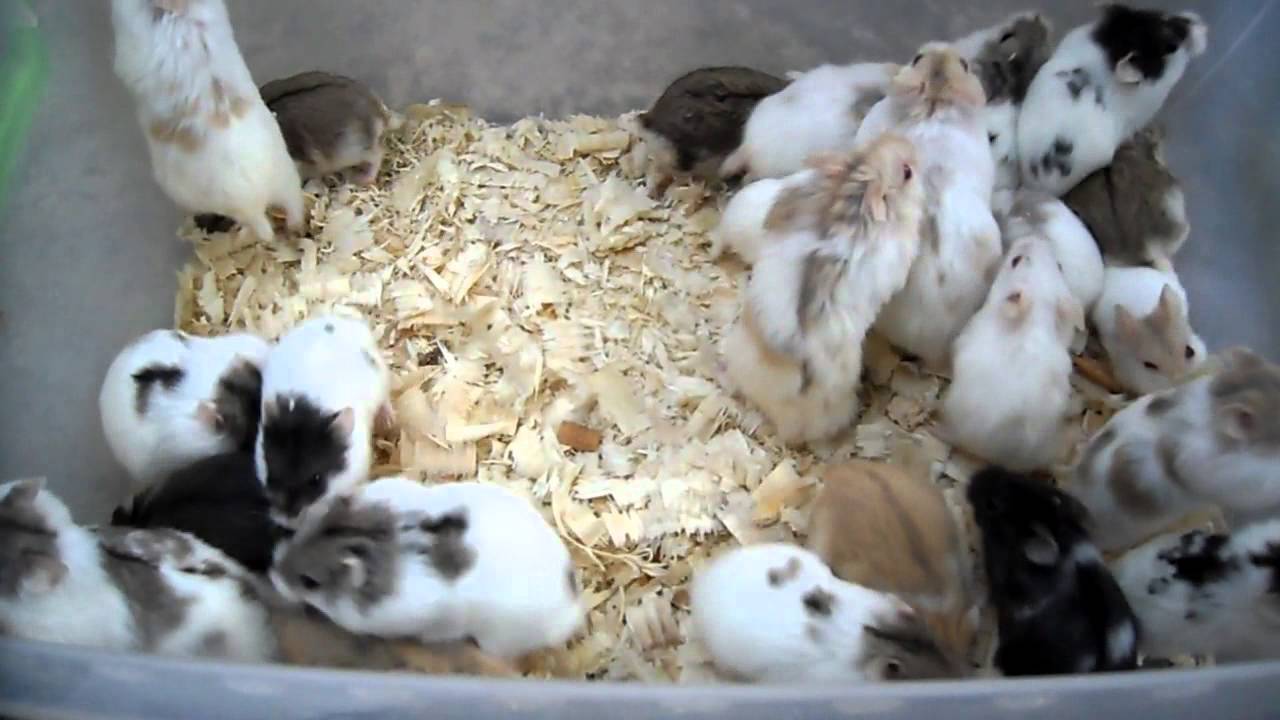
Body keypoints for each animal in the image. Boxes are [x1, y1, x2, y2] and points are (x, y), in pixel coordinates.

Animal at [256, 314, 391, 527]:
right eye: (271, 475)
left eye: (316, 479)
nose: (286, 523)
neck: (307, 412)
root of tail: (343, 322)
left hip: (381, 377)